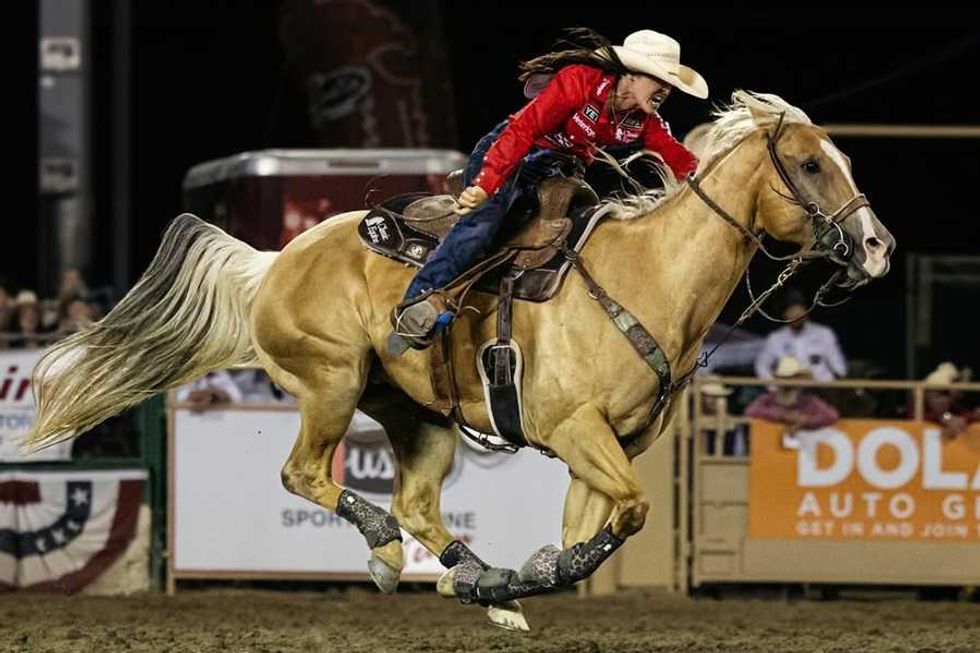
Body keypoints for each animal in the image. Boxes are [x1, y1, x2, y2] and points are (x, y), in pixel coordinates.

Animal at [26, 91, 894, 630]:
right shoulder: (578, 431)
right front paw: (521, 571)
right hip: (331, 383)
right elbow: (633, 512)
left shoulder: (603, 448)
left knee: (418, 503)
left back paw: (474, 578)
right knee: (308, 475)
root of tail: (273, 261)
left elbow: (594, 530)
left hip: (419, 417)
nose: (878, 245)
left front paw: (519, 576)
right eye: (811, 165)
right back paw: (388, 552)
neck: (647, 276)